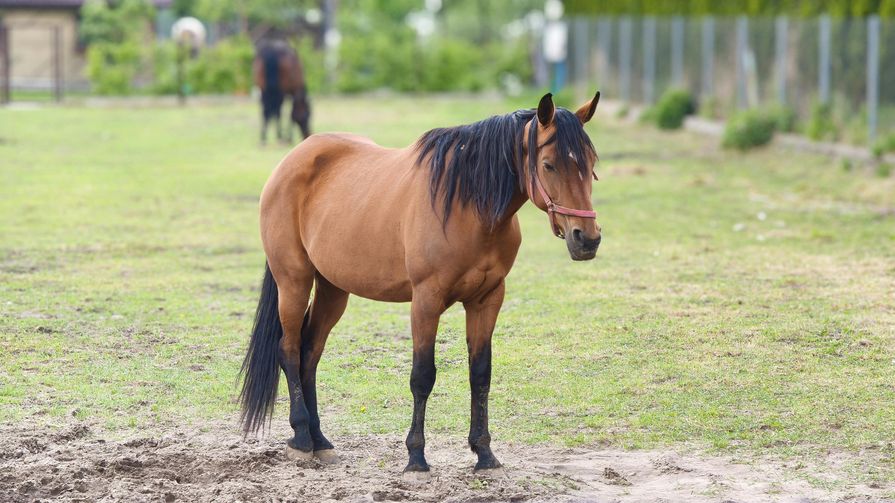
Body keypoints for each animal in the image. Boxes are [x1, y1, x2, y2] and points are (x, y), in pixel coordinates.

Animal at [239, 91, 603, 478]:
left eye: (591, 162)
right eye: (548, 165)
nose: (587, 239)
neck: (468, 205)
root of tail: (293, 158)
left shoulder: (488, 298)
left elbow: (480, 374)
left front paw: (484, 454)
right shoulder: (426, 300)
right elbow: (422, 376)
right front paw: (416, 458)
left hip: (333, 289)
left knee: (310, 353)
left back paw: (320, 439)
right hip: (293, 281)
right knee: (290, 350)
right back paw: (301, 439)